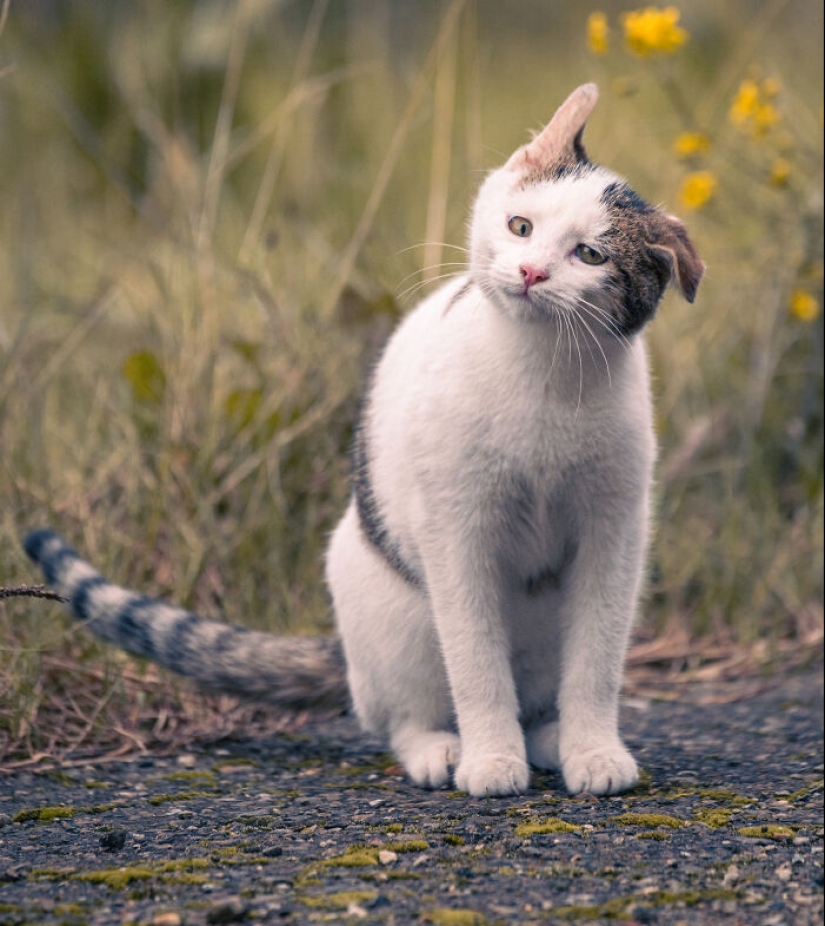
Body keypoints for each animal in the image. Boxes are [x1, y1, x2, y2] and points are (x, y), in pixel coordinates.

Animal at [24, 83, 700, 800]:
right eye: (520, 226)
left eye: (590, 256)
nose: (529, 271)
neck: (544, 374)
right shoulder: (455, 529)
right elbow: (475, 664)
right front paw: (491, 759)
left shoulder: (614, 529)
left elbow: (596, 660)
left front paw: (593, 750)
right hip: (391, 610)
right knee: (400, 713)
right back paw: (442, 747)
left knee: (542, 690)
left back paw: (548, 737)